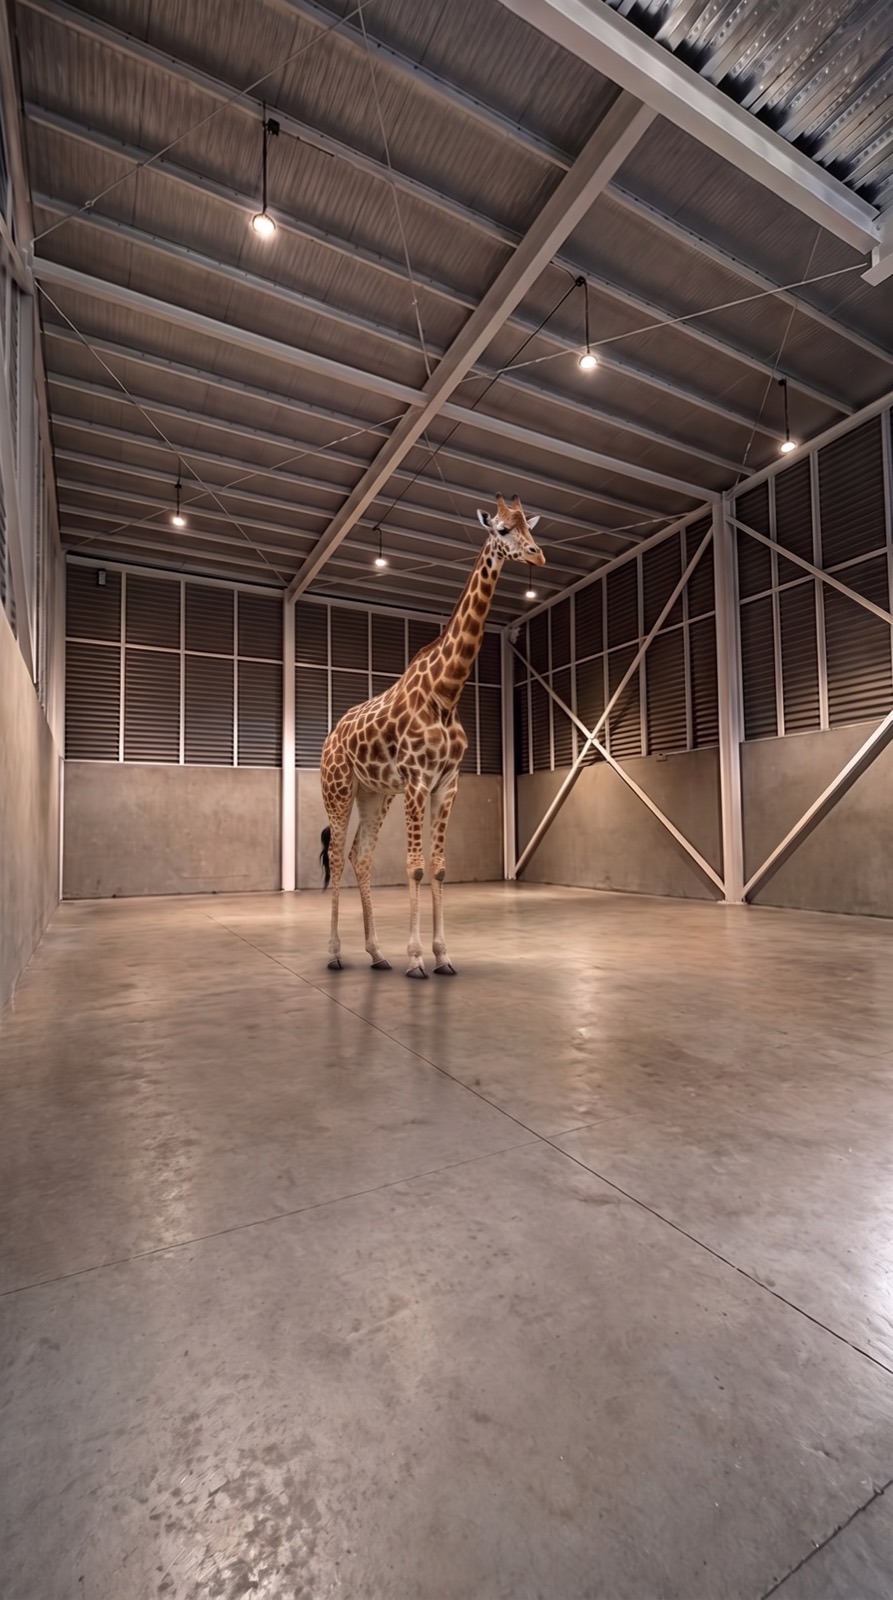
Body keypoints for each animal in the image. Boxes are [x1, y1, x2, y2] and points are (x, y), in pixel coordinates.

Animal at [319, 494, 545, 978]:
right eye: (501, 529)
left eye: (530, 527)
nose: (538, 555)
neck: (447, 693)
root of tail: (330, 738)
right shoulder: (417, 782)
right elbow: (415, 867)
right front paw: (417, 959)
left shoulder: (447, 783)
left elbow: (439, 868)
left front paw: (443, 956)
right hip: (339, 789)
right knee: (337, 856)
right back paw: (335, 954)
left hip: (374, 794)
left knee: (360, 857)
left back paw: (376, 954)